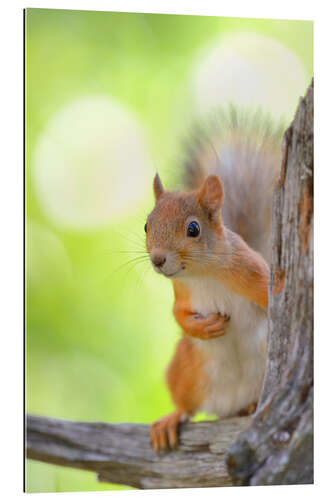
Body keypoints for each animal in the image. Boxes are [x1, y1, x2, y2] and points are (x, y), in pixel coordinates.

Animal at [144, 110, 282, 454]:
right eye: (146, 225)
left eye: (193, 229)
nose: (157, 259)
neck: (203, 274)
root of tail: (228, 405)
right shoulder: (182, 293)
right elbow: (178, 314)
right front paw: (203, 327)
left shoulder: (253, 272)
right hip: (185, 370)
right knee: (186, 406)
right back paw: (170, 420)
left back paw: (251, 407)